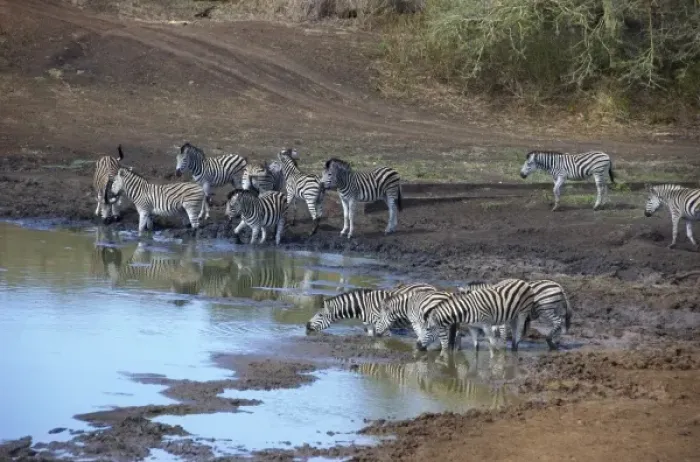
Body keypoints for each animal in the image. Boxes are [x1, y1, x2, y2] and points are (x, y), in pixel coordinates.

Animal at [305, 283, 437, 334]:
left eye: (320, 315)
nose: (306, 325)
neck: (364, 306)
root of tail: (431, 287)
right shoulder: (369, 325)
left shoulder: (381, 324)